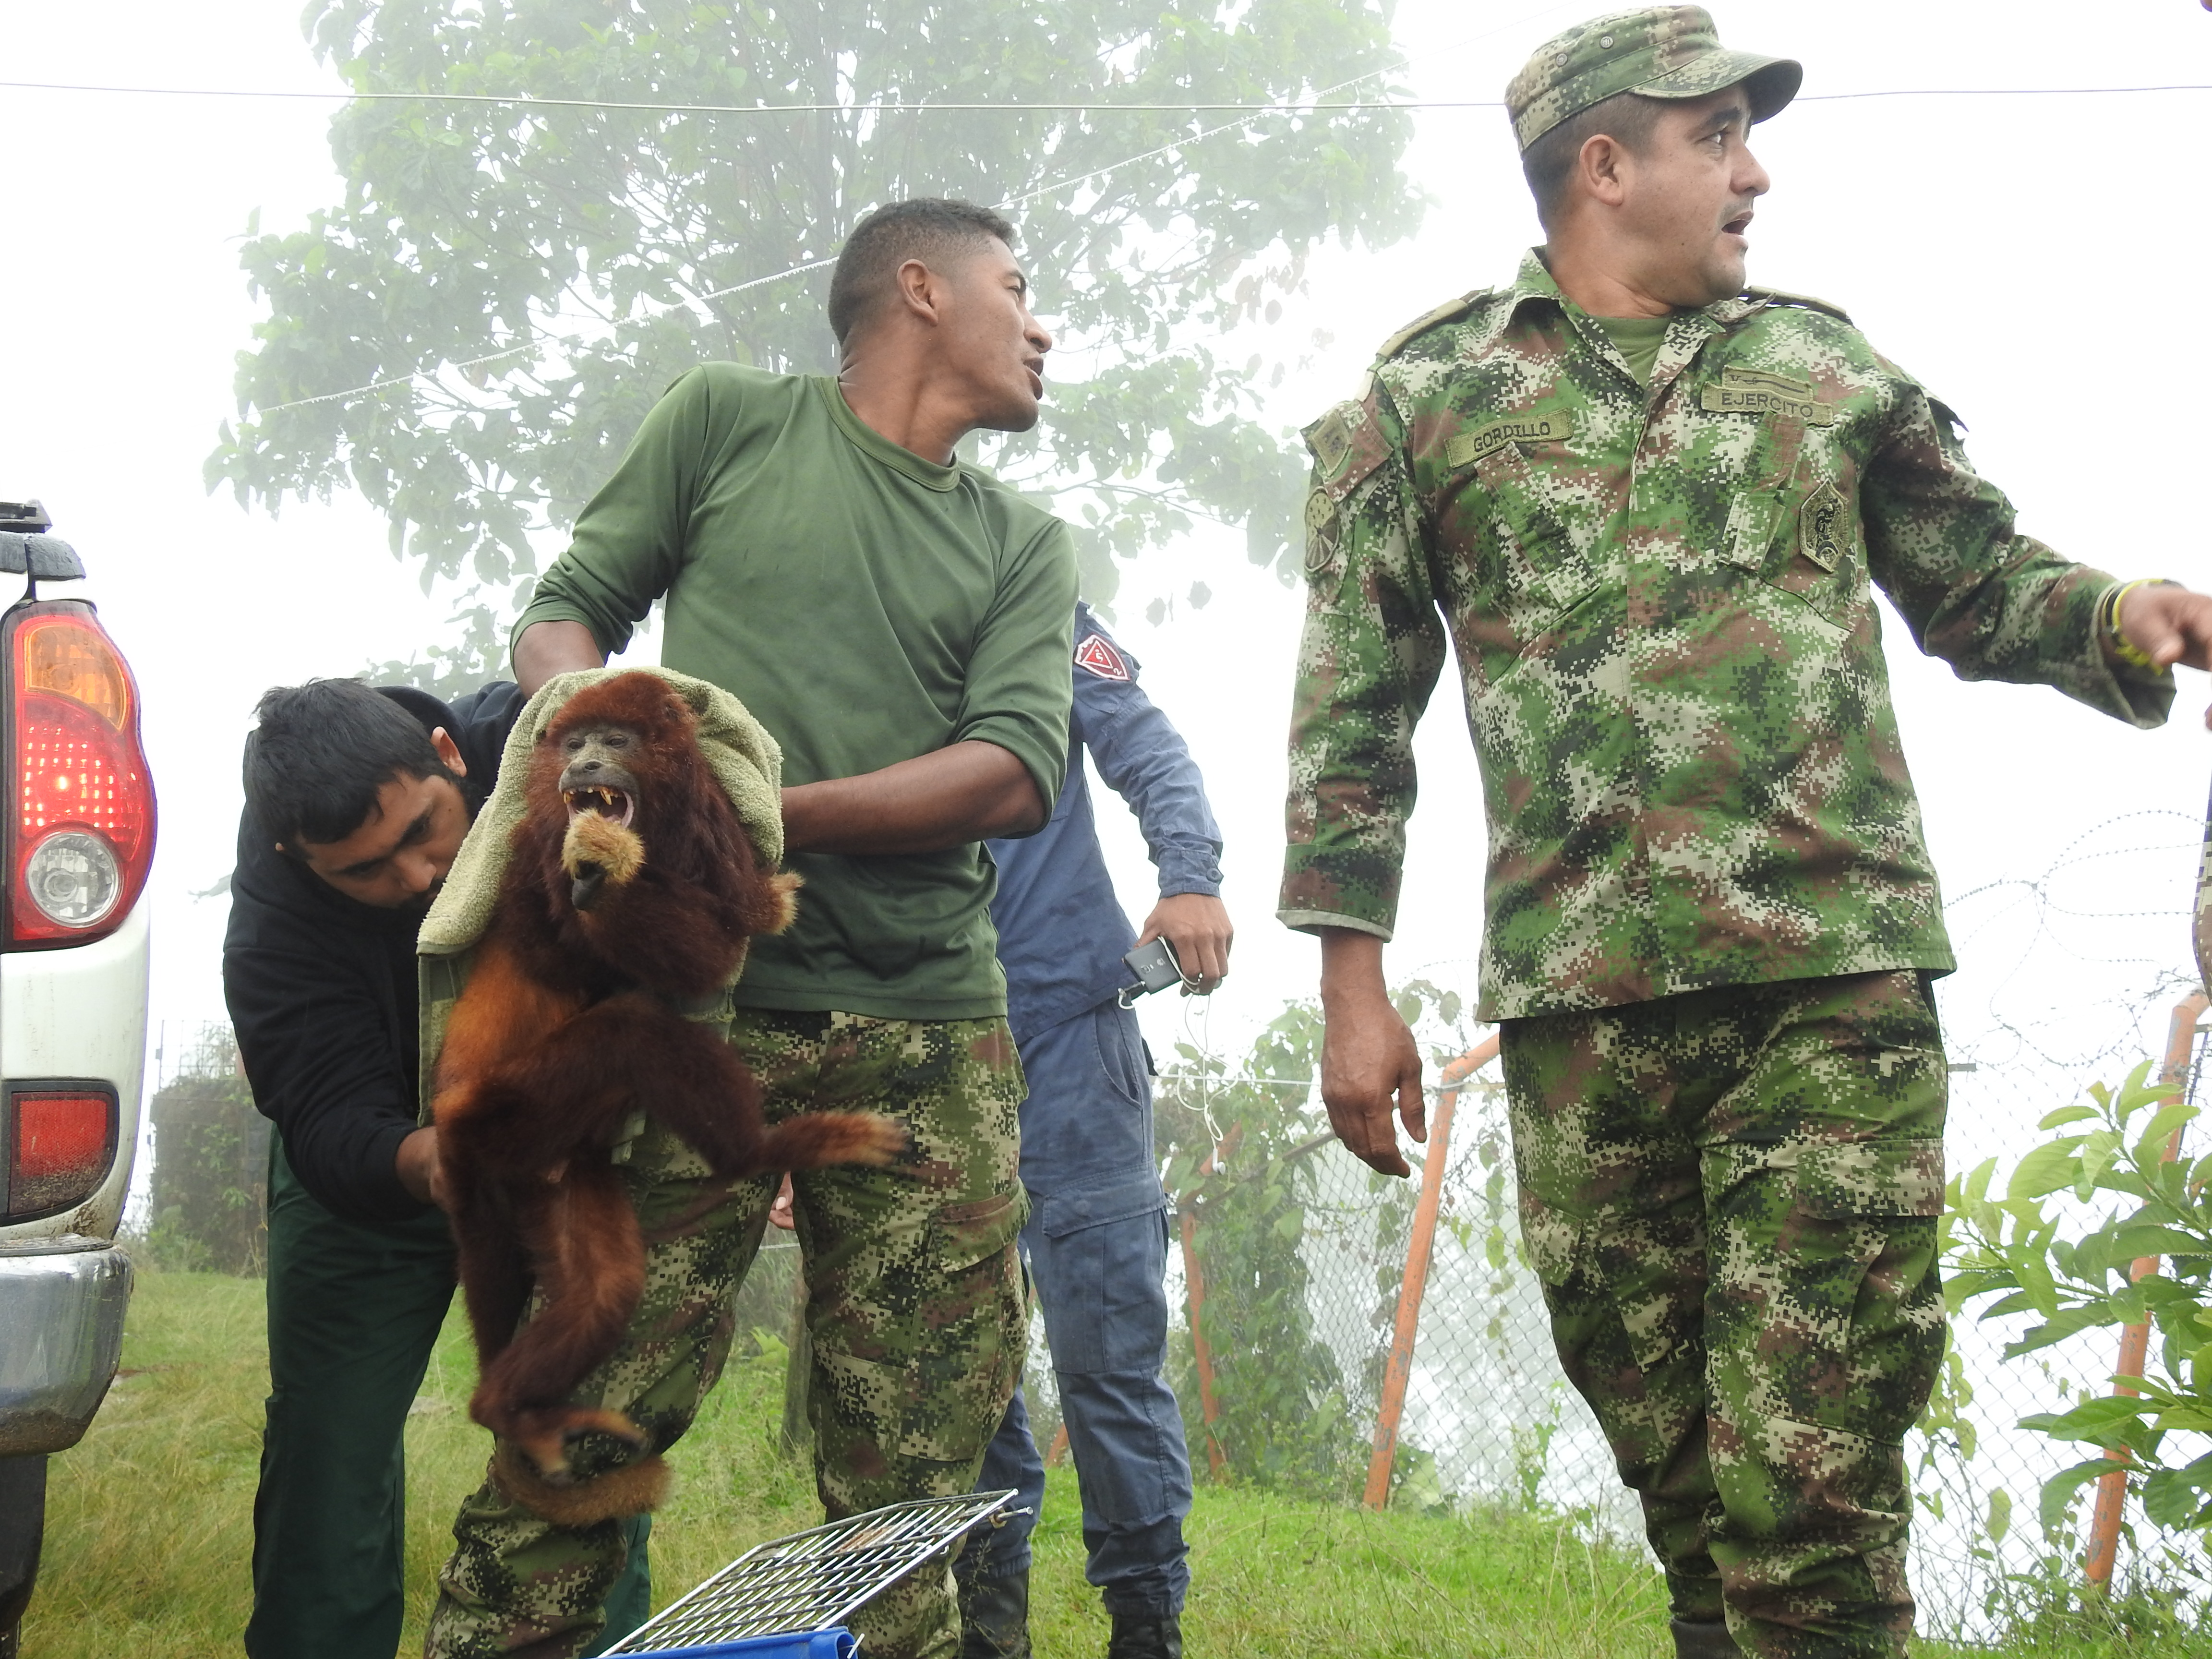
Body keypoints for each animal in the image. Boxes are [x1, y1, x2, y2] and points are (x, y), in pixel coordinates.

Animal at [431, 668, 898, 1504]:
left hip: (549, 1171)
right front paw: (600, 864)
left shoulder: (711, 823)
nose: (584, 765)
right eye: (574, 744)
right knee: (634, 1027)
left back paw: (509, 1407)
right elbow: (586, 955)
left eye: (612, 740)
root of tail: (449, 1124)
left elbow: (723, 933)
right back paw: (766, 1150)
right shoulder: (539, 841)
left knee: (606, 1291)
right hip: (502, 1113)